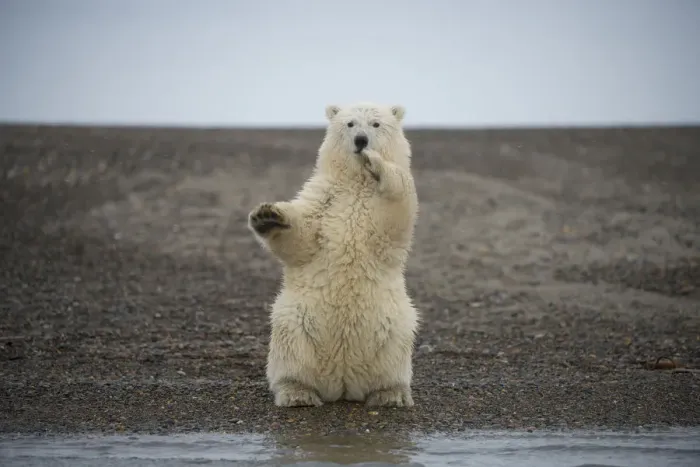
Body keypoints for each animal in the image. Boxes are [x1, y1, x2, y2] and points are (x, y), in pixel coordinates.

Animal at [247, 102, 419, 408]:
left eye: (375, 124)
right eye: (350, 124)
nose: (361, 141)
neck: (355, 183)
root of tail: (343, 383)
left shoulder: (381, 209)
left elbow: (398, 206)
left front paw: (377, 164)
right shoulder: (323, 197)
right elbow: (303, 236)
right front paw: (267, 216)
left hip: (393, 324)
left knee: (395, 350)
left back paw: (390, 394)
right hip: (298, 319)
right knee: (291, 347)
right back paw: (297, 393)